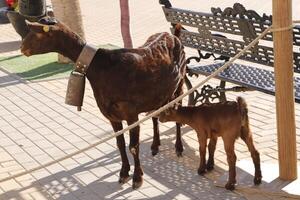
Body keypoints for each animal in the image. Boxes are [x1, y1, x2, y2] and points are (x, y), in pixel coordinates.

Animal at [20, 18, 185, 188]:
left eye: (37, 33)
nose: (22, 48)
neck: (102, 68)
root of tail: (173, 35)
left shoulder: (131, 113)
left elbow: (133, 146)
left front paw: (137, 178)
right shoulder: (112, 115)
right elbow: (120, 143)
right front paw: (123, 173)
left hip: (179, 85)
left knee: (178, 114)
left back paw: (178, 148)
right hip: (158, 95)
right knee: (155, 115)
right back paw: (155, 146)